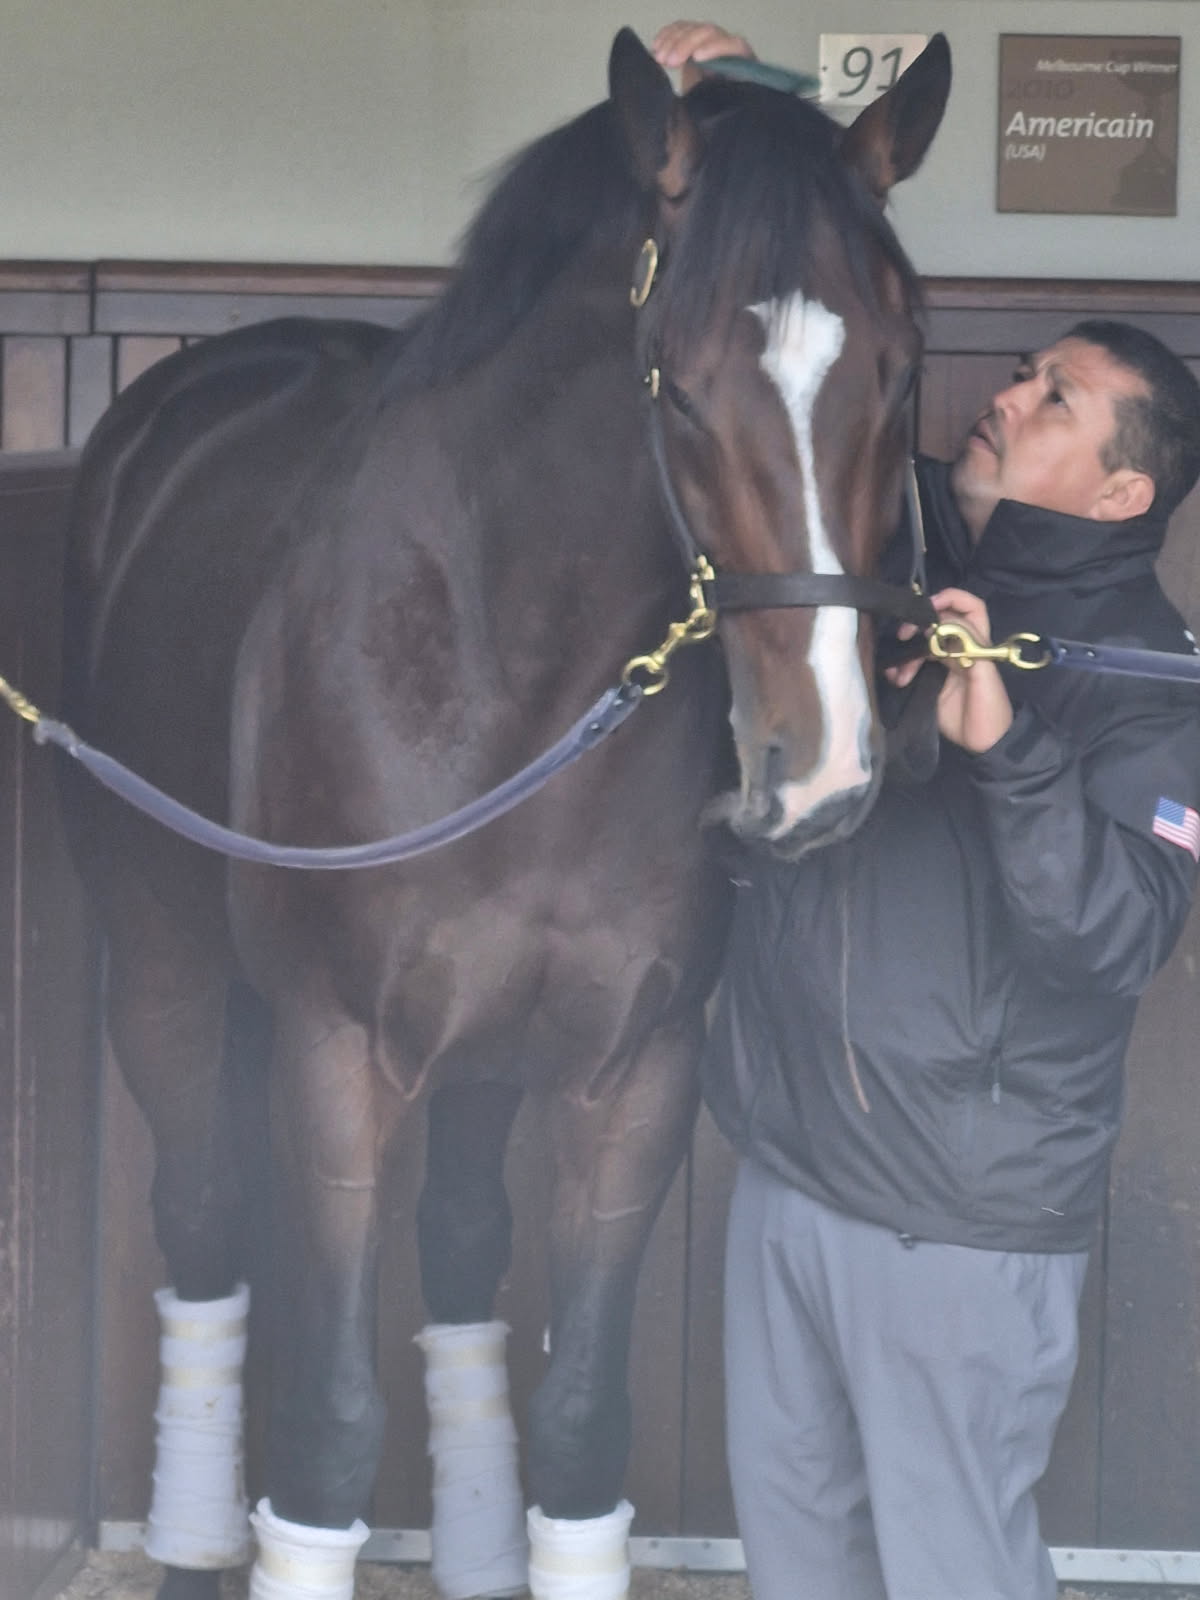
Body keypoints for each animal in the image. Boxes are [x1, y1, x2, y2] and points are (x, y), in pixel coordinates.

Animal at [60, 28, 950, 1600]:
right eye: (676, 386)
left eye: (902, 372)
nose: (822, 768)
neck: (506, 665)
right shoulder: (338, 1061)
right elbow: (331, 1435)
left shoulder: (633, 1072)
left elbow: (584, 1425)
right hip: (165, 968)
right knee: (206, 1230)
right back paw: (185, 1549)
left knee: (465, 1251)